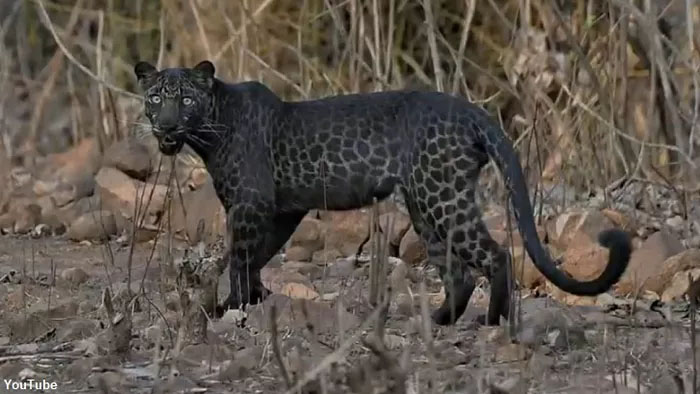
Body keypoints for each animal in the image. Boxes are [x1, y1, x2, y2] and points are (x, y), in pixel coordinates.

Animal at [134, 60, 632, 326]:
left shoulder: (250, 204)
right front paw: (253, 298)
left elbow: (239, 256)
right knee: (458, 272)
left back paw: (493, 321)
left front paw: (232, 305)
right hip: (425, 205)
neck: (210, 130)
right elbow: (256, 256)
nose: (166, 126)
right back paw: (438, 321)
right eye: (156, 98)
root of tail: (472, 111)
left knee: (495, 255)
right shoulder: (283, 209)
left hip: (442, 198)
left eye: (186, 99)